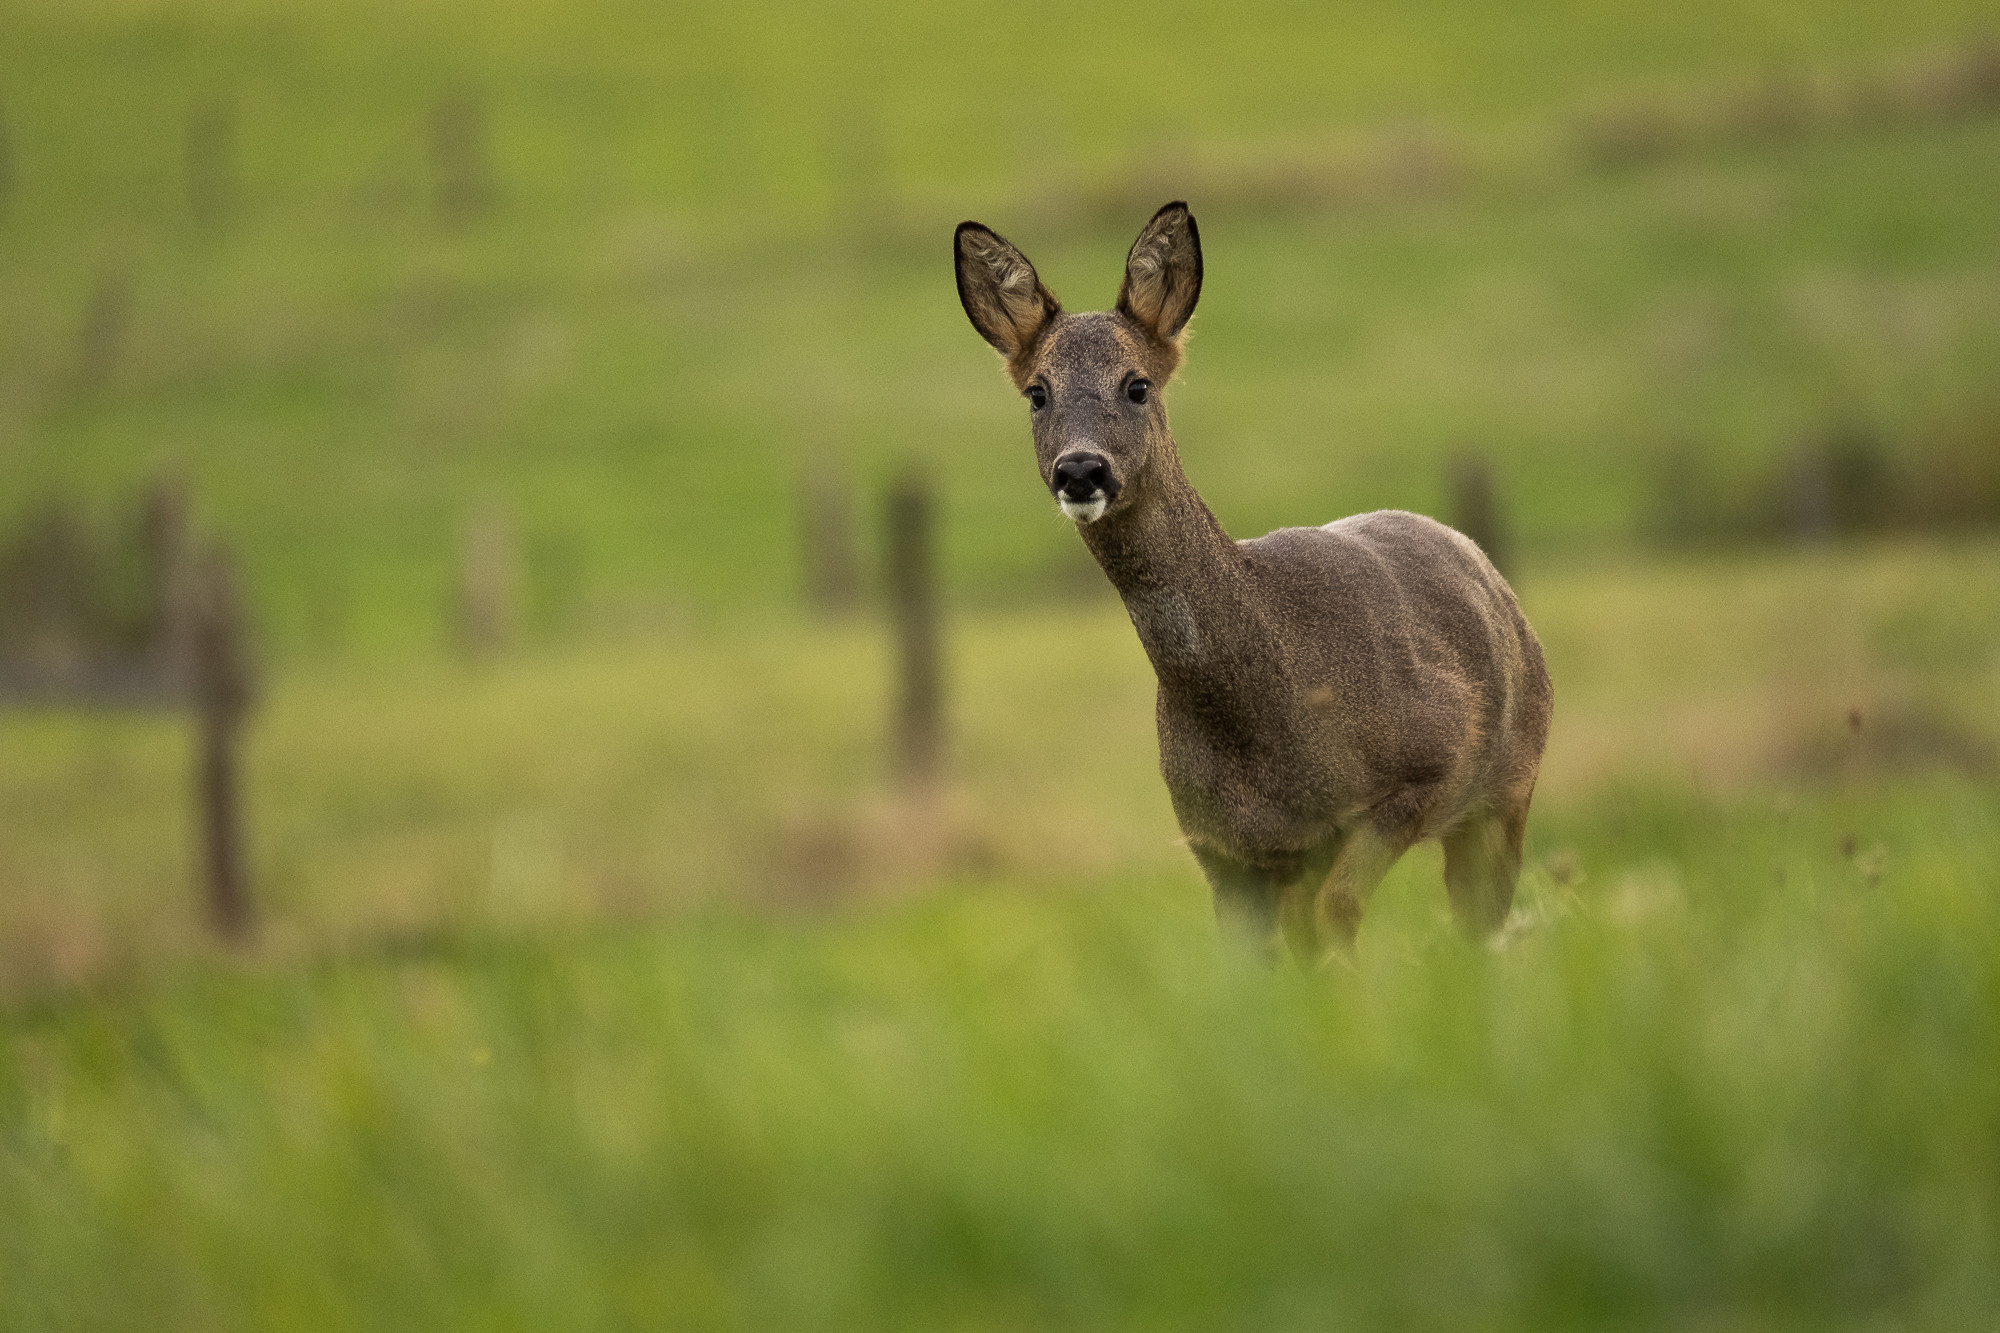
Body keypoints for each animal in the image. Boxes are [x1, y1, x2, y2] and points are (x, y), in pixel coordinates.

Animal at [960, 202, 1552, 960]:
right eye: (1037, 392)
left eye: (1138, 384)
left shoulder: (1423, 772)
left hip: (1509, 784)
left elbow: (1340, 916)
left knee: (1480, 918)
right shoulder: (1220, 847)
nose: (1081, 470)